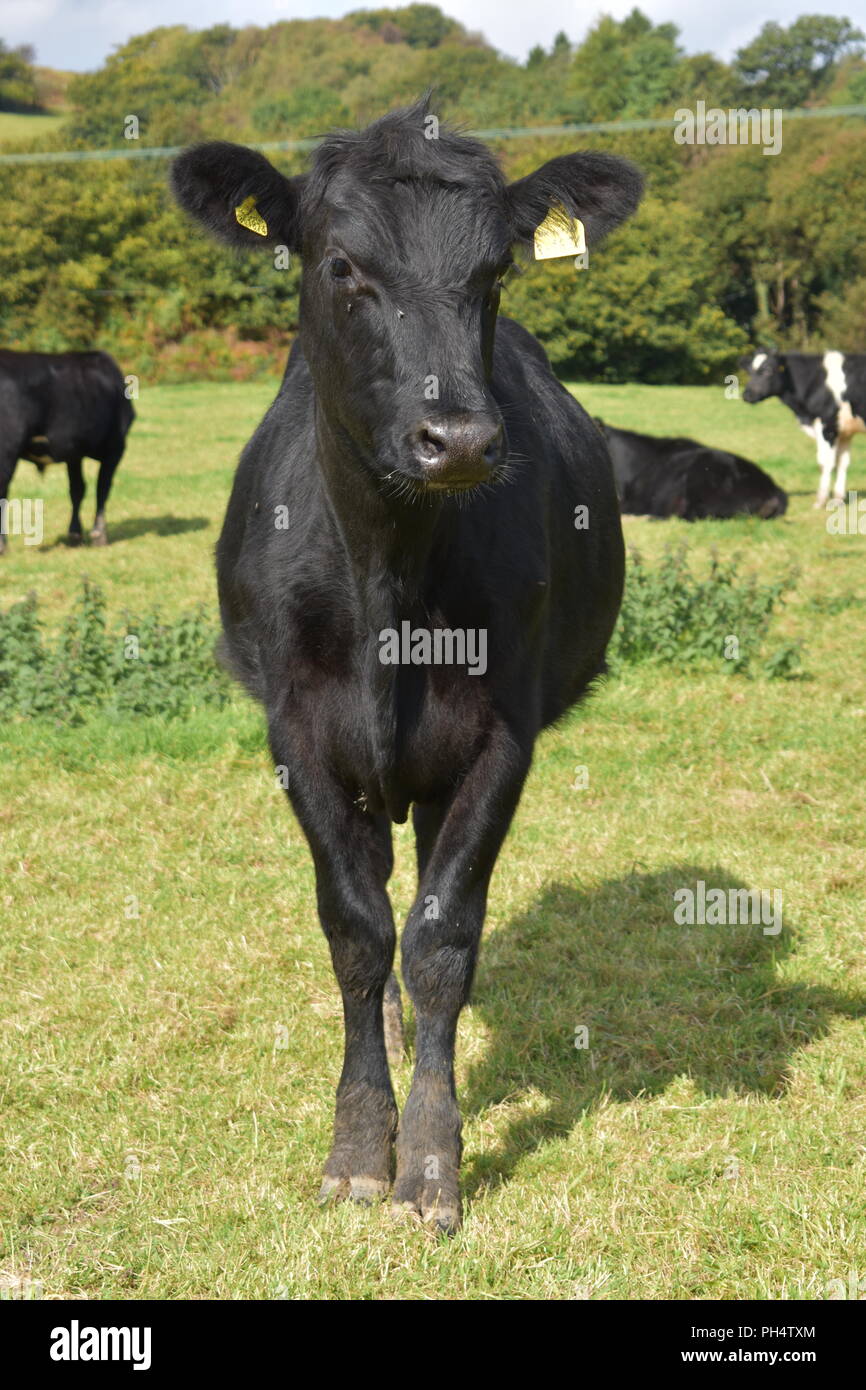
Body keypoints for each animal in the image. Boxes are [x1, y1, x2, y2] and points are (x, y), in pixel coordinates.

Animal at [0, 349, 134, 554]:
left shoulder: (73, 452)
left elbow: (77, 489)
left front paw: (75, 535)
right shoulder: (115, 447)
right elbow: (102, 488)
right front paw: (99, 535)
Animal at [171, 99, 642, 1231]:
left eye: (495, 272)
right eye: (342, 264)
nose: (458, 437)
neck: (388, 578)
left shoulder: (499, 742)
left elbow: (440, 938)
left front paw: (427, 1160)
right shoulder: (298, 735)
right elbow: (354, 931)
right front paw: (356, 1146)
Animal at [740, 350, 866, 507]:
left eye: (768, 370)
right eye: (749, 371)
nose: (747, 395)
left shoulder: (827, 426)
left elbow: (825, 462)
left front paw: (820, 501)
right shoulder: (844, 432)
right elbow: (842, 463)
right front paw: (837, 499)